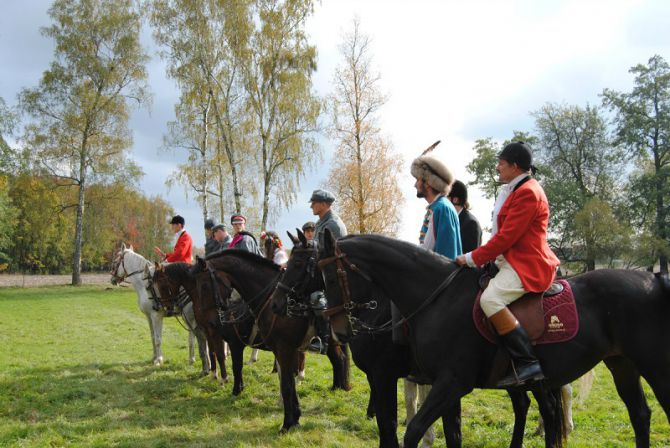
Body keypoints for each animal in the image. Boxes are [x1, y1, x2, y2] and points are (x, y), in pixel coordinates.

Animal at [110, 243, 210, 372]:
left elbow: (158, 339)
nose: (112, 279)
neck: (145, 285)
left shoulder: (156, 316)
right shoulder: (149, 317)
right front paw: (154, 357)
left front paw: (158, 360)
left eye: (115, 261)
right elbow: (153, 336)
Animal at [189, 250, 352, 432]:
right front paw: (295, 417)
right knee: (339, 360)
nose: (210, 322)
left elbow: (282, 383)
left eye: (204, 286)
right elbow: (287, 382)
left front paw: (287, 423)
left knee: (340, 360)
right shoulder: (280, 350)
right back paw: (337, 387)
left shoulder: (257, 346)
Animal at [272, 231, 540, 448]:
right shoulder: (386, 376)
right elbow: (390, 421)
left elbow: (389, 423)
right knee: (523, 405)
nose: (277, 302)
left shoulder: (387, 374)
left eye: (299, 262)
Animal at [316, 231, 670, 448]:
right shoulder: (442, 385)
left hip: (654, 367)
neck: (437, 296)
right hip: (621, 365)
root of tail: (653, 279)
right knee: (639, 415)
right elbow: (451, 434)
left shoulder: (447, 382)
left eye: (330, 276)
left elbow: (410, 430)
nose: (339, 330)